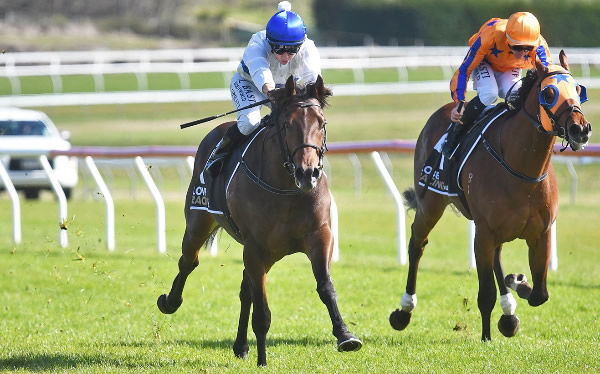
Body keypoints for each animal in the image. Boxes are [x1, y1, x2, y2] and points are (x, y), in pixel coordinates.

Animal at [157, 75, 360, 366]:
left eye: (321, 123)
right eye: (287, 124)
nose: (308, 173)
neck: (287, 188)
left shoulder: (319, 236)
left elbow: (325, 287)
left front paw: (345, 335)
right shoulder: (255, 248)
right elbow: (262, 311)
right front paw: (262, 359)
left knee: (245, 289)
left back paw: (241, 346)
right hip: (199, 220)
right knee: (188, 261)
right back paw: (170, 301)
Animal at [390, 51, 592, 340]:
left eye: (577, 89)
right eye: (549, 93)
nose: (581, 129)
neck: (521, 168)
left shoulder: (541, 234)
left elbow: (540, 294)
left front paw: (517, 283)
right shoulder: (484, 232)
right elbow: (486, 293)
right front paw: (486, 336)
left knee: (496, 257)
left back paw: (508, 311)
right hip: (431, 203)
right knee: (417, 244)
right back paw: (404, 310)